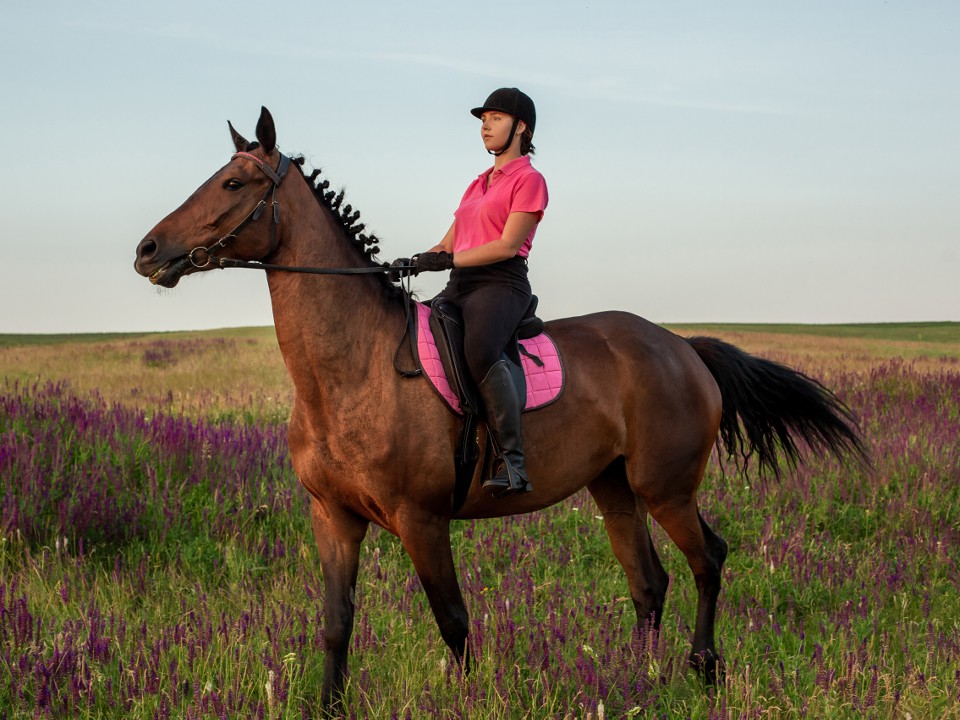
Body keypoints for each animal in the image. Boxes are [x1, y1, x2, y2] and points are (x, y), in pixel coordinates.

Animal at [133, 107, 864, 716]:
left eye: (232, 183)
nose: (147, 252)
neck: (352, 368)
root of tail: (681, 346)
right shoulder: (333, 517)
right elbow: (337, 623)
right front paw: (327, 707)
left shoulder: (422, 520)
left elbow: (454, 622)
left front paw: (469, 701)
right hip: (614, 487)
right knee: (649, 582)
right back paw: (634, 679)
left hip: (666, 487)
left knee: (707, 559)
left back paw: (703, 670)